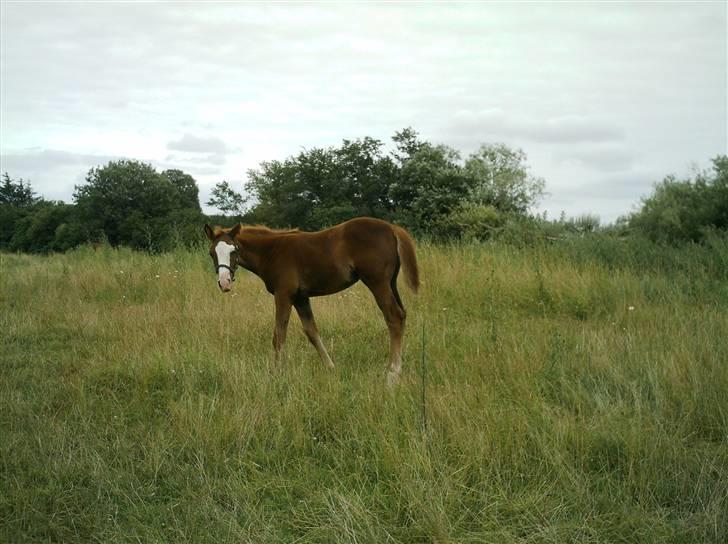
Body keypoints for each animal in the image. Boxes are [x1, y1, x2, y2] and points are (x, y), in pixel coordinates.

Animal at [205, 217, 420, 382]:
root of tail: (392, 227)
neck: (272, 251)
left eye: (234, 250)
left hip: (377, 282)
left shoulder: (284, 295)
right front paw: (331, 367)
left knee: (393, 316)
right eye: (211, 252)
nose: (224, 282)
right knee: (402, 314)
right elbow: (312, 332)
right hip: (391, 282)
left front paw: (275, 374)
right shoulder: (301, 298)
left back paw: (393, 372)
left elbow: (279, 335)